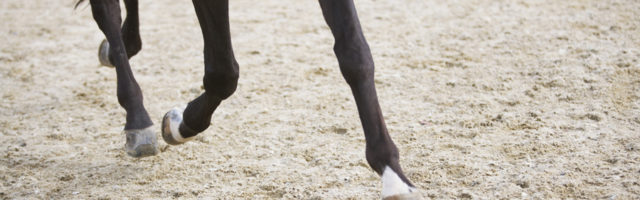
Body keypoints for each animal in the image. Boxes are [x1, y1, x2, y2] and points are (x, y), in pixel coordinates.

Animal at [79, 0, 420, 198]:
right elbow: (223, 72)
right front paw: (180, 124)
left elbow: (355, 55)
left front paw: (393, 175)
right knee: (106, 11)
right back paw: (137, 121)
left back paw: (122, 46)